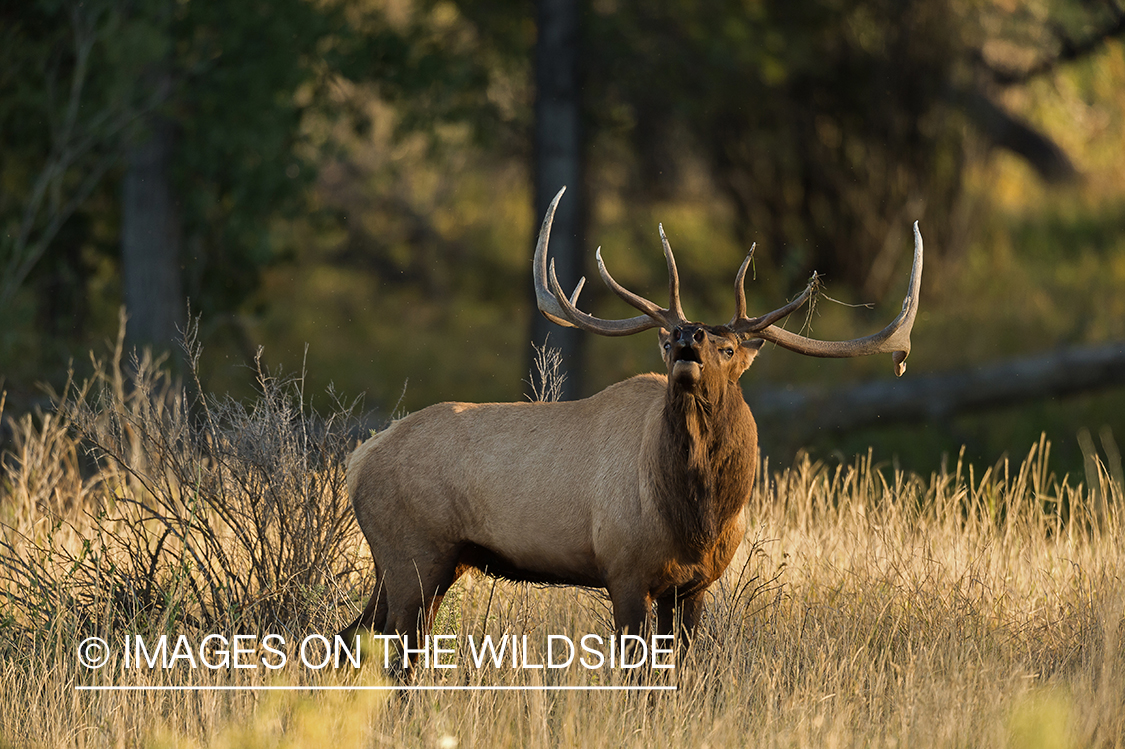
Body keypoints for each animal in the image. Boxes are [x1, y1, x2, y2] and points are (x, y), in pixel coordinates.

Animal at [344, 185, 922, 661]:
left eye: (728, 347)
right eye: (668, 344)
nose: (688, 336)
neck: (698, 517)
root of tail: (359, 459)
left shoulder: (694, 585)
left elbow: (678, 667)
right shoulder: (623, 570)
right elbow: (634, 674)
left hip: (424, 562)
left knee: (362, 634)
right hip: (413, 553)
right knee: (390, 647)